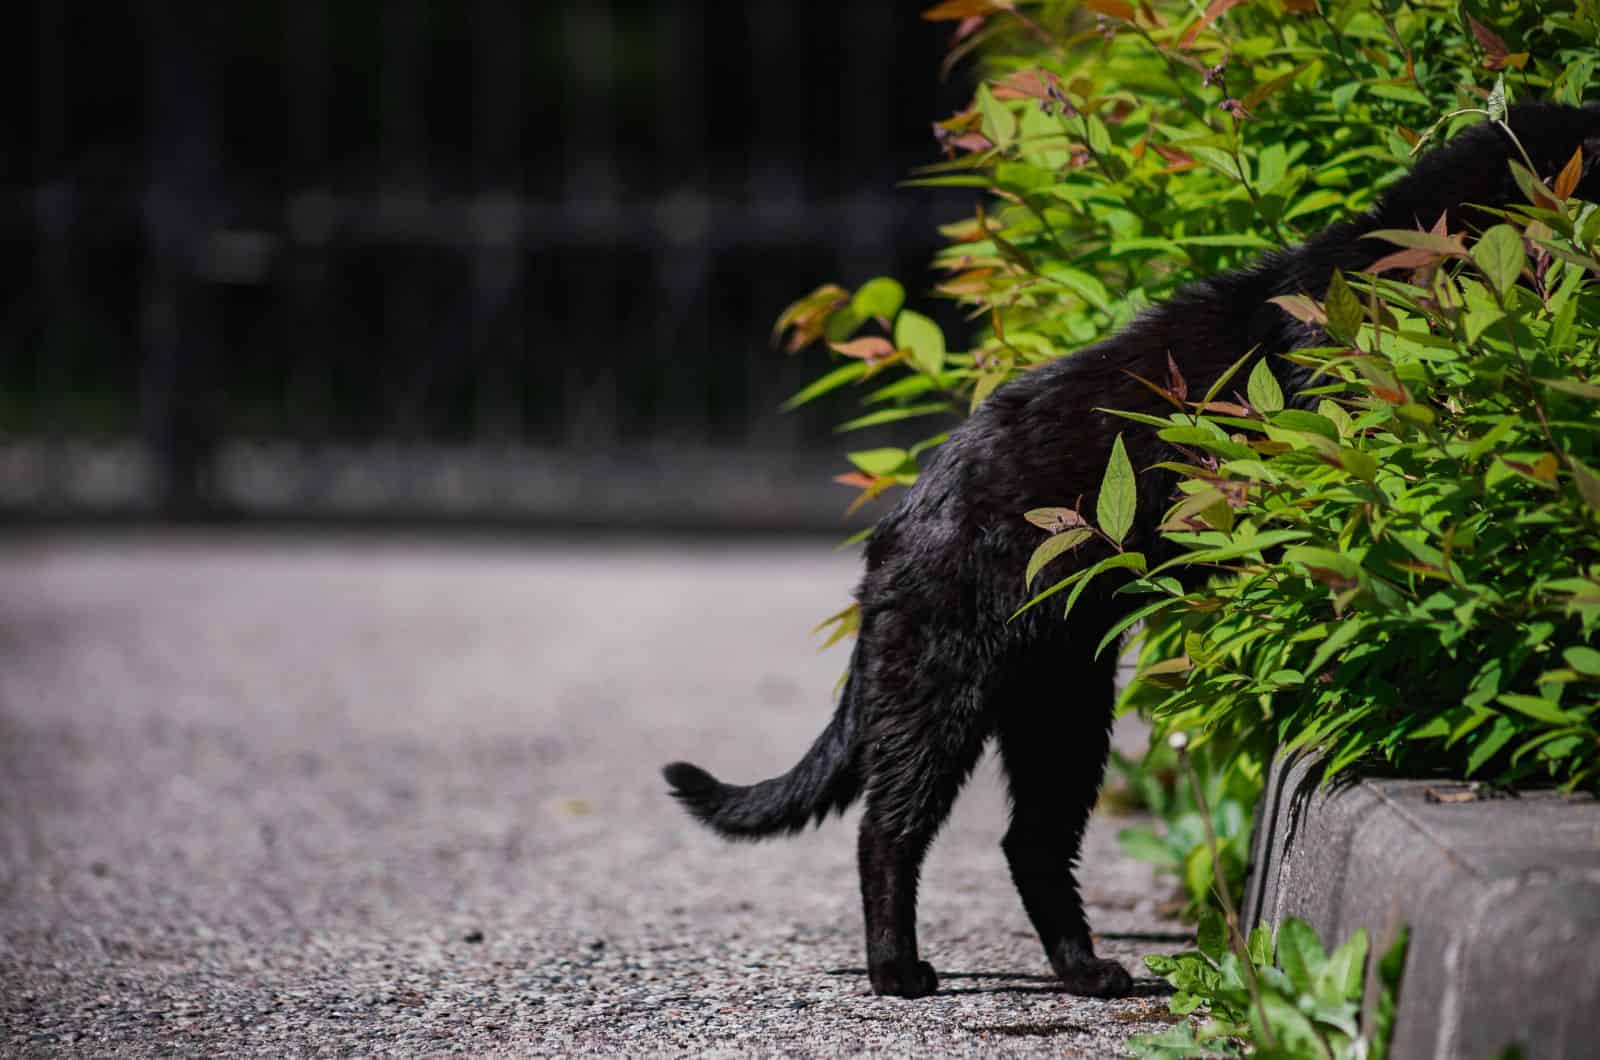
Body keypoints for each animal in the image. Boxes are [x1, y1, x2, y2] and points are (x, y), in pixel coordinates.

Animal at [659, 105, 1600, 1005]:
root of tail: (896, 524)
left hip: (1062, 705)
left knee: (1030, 841)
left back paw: (1087, 972)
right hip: (939, 687)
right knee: (887, 828)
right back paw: (899, 973)